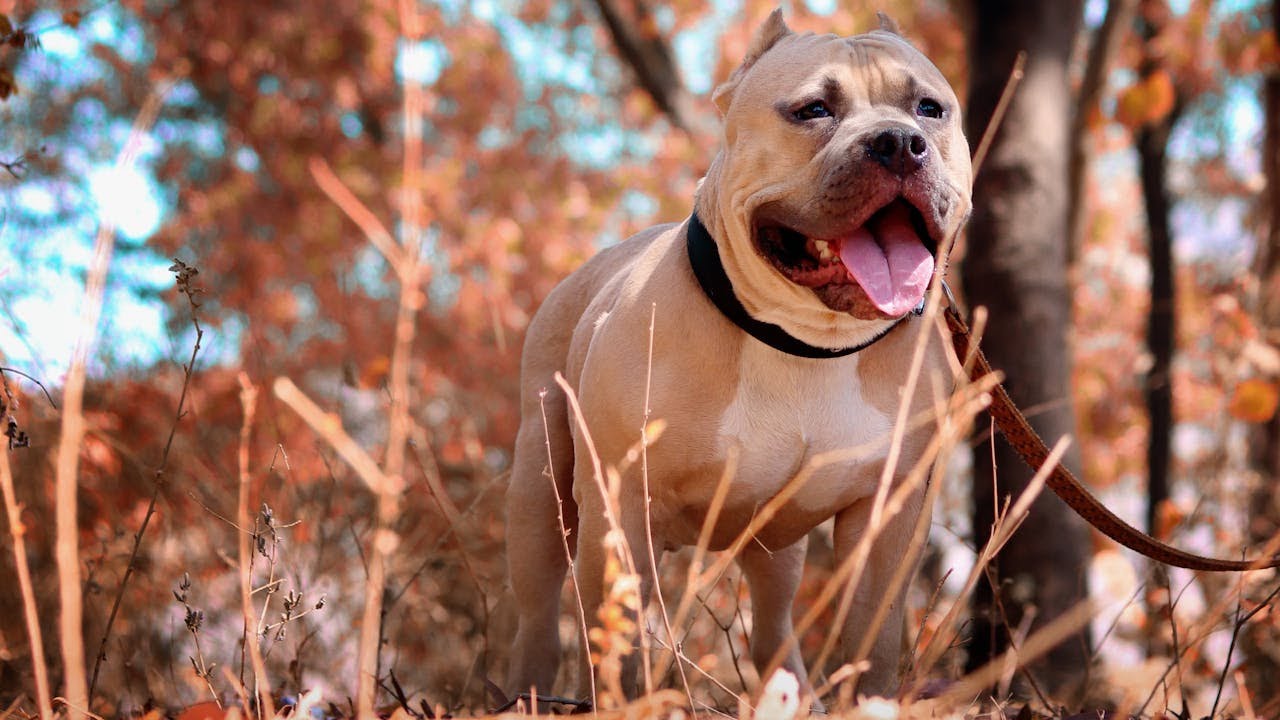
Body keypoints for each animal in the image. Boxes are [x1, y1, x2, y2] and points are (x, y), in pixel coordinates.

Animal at [499, 9, 967, 696]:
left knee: (773, 627)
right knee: (536, 617)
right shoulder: (620, 505)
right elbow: (616, 640)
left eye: (929, 109)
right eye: (813, 110)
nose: (900, 142)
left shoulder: (890, 520)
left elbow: (872, 643)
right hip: (541, 500)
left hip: (776, 554)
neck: (804, 342)